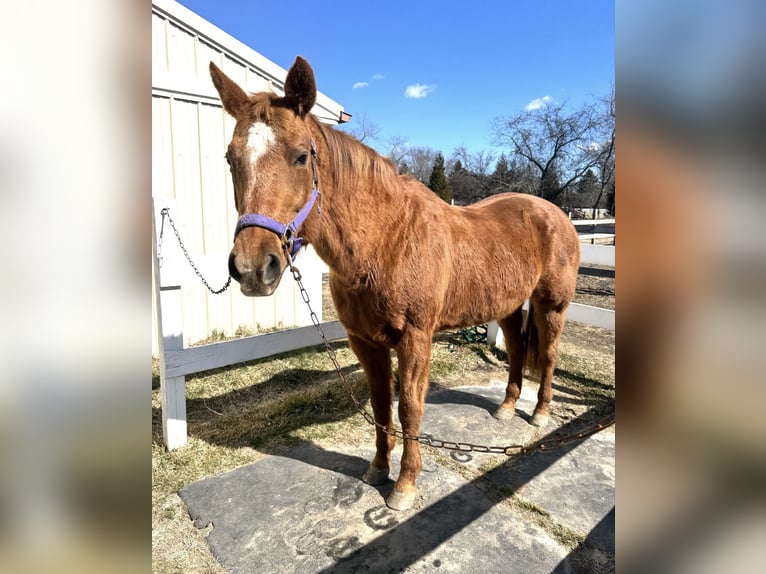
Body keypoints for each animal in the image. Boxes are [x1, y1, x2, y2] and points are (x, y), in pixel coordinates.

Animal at [209, 56, 581, 511]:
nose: (252, 268)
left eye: (300, 157)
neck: (385, 241)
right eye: (231, 159)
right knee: (514, 350)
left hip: (551, 305)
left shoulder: (415, 339)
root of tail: (556, 214)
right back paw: (508, 407)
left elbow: (410, 409)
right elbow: (382, 405)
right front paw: (377, 469)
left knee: (548, 355)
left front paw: (404, 485)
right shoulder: (365, 341)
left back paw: (541, 412)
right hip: (509, 305)